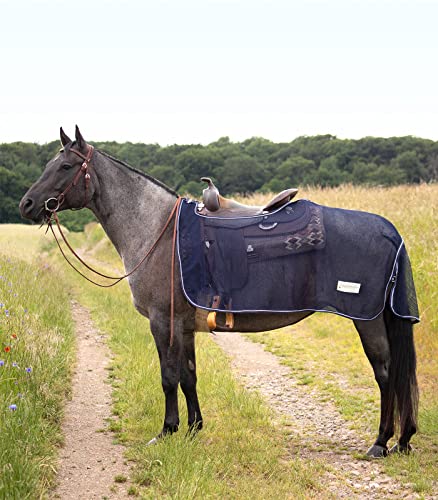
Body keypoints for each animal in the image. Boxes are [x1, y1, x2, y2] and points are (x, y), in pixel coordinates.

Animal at [18, 126, 420, 458]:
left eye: (65, 165)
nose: (27, 204)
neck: (158, 232)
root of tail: (388, 230)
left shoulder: (162, 322)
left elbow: (168, 377)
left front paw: (166, 431)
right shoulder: (183, 325)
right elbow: (189, 376)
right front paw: (193, 429)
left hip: (366, 319)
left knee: (385, 374)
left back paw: (381, 442)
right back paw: (402, 439)